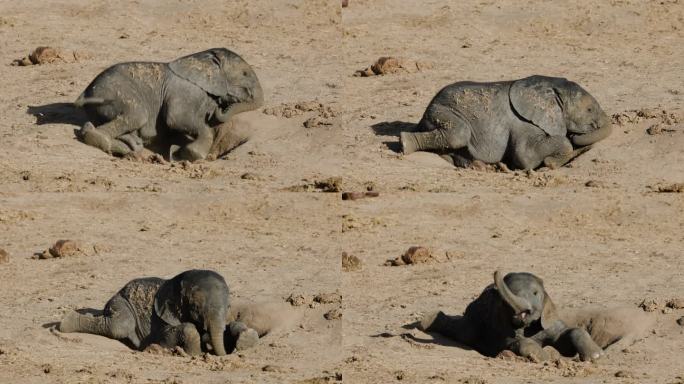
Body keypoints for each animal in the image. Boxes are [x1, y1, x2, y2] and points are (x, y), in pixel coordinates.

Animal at [56, 268, 256, 356]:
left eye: (229, 307)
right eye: (196, 308)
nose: (222, 355)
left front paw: (245, 337)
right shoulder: (161, 319)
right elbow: (171, 334)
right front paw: (195, 354)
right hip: (121, 302)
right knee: (119, 326)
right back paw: (67, 322)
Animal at [76, 47, 264, 161]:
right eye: (245, 73)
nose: (218, 108)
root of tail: (86, 92)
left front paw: (177, 152)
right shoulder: (185, 90)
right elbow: (177, 120)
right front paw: (193, 154)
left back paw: (132, 147)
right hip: (114, 93)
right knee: (137, 115)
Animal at [398, 75, 612, 170]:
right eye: (589, 110)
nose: (576, 134)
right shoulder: (522, 121)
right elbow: (525, 155)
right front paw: (551, 161)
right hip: (443, 111)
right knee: (458, 135)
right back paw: (405, 143)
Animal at [416, 270, 604, 364]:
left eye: (535, 293)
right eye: (504, 300)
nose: (496, 271)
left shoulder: (549, 321)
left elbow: (569, 335)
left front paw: (596, 356)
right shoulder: (500, 328)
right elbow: (513, 342)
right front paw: (543, 357)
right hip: (473, 319)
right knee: (463, 331)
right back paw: (425, 321)